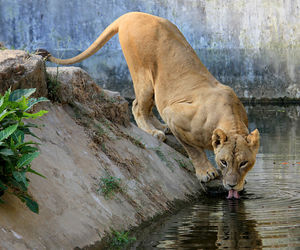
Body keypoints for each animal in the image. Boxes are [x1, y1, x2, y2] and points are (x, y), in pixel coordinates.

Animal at [36, 12, 258, 199]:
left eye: (244, 163)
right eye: (223, 162)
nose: (231, 186)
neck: (231, 120)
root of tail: (129, 14)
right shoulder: (175, 114)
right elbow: (193, 149)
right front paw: (206, 172)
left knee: (150, 106)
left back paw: (160, 127)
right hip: (142, 73)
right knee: (136, 106)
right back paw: (153, 132)